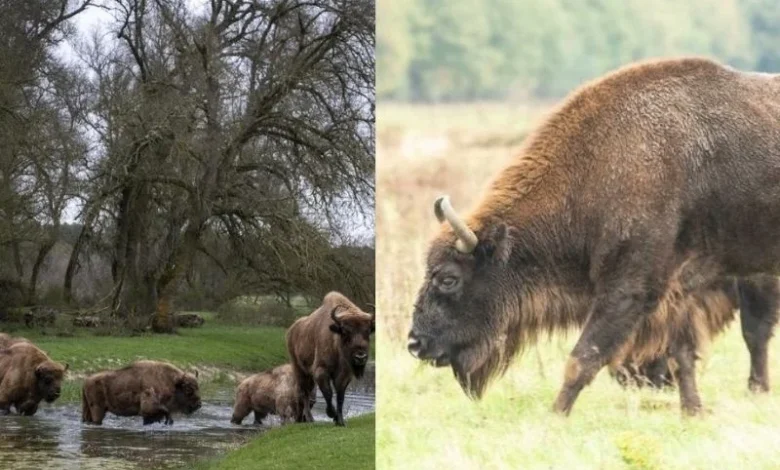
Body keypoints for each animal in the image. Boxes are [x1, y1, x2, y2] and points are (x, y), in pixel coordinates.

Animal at [287, 292, 374, 426]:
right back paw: (308, 419)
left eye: (368, 331)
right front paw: (331, 414)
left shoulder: (344, 375)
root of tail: (292, 330)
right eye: (345, 331)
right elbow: (328, 393)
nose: (360, 357)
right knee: (303, 392)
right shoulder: (321, 371)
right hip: (299, 369)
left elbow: (340, 396)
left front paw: (340, 421)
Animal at [408, 57, 780, 416]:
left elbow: (583, 357)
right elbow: (682, 355)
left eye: (449, 278)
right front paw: (693, 412)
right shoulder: (676, 292)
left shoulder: (629, 290)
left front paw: (555, 415)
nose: (415, 343)